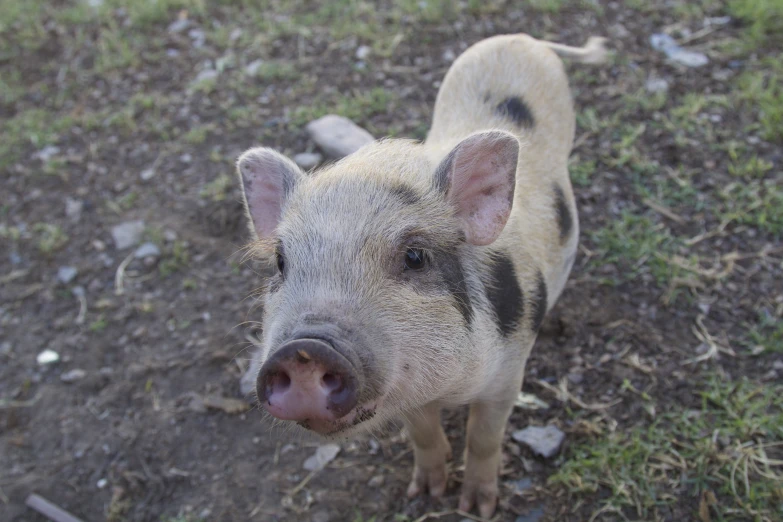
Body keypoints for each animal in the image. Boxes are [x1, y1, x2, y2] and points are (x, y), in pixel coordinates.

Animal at [236, 32, 608, 516]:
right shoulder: (408, 395)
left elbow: (484, 438)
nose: (303, 349)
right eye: (281, 261)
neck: (448, 389)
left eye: (415, 257)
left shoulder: (508, 376)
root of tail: (521, 38)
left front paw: (477, 507)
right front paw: (425, 493)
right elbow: (424, 434)